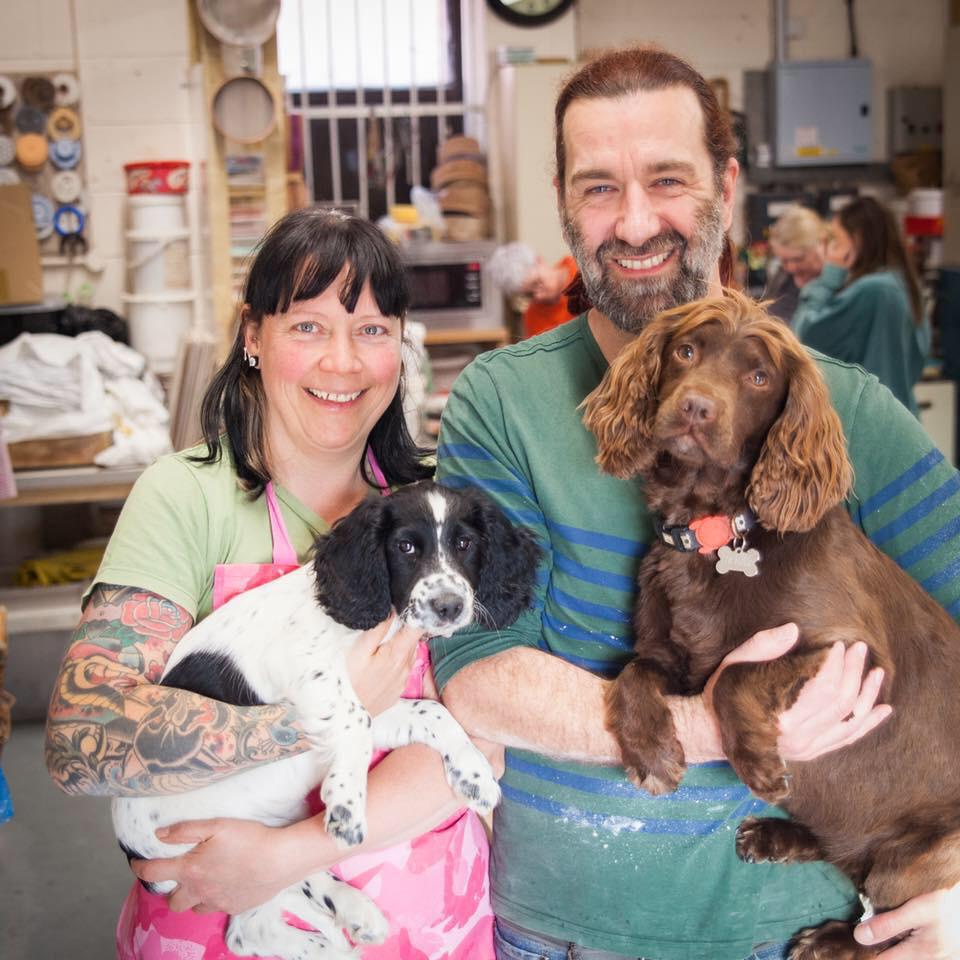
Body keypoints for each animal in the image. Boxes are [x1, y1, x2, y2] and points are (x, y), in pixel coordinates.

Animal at [112, 484, 540, 956]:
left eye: (465, 543)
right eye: (405, 547)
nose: (450, 606)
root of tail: (129, 850)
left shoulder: (376, 701)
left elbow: (432, 711)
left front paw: (473, 774)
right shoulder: (309, 675)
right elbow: (357, 719)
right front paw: (347, 802)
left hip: (248, 848)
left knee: (257, 918)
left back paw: (354, 914)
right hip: (202, 854)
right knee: (248, 930)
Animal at [576, 290, 960, 960]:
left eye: (758, 378)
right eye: (686, 351)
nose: (695, 408)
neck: (712, 532)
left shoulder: (857, 654)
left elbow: (739, 675)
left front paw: (755, 760)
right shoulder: (668, 654)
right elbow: (632, 674)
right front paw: (652, 751)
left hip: (923, 858)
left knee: (888, 923)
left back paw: (831, 938)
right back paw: (778, 838)